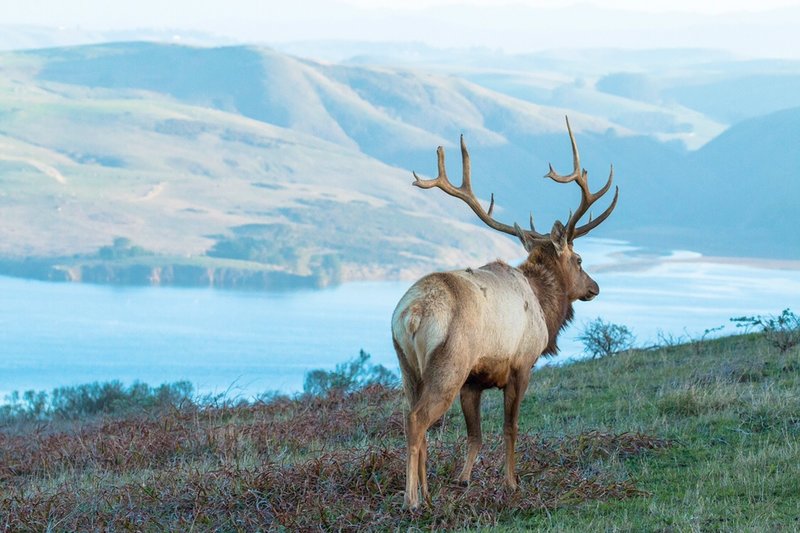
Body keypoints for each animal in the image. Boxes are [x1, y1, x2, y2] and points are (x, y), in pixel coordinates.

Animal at [390, 116, 616, 508]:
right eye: (579, 259)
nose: (595, 287)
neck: (545, 306)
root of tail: (413, 313)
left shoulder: (474, 381)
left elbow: (475, 435)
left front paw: (463, 479)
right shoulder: (521, 364)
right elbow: (511, 427)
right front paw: (511, 483)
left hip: (407, 366)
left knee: (409, 417)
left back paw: (429, 495)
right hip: (448, 364)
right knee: (418, 420)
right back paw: (412, 500)